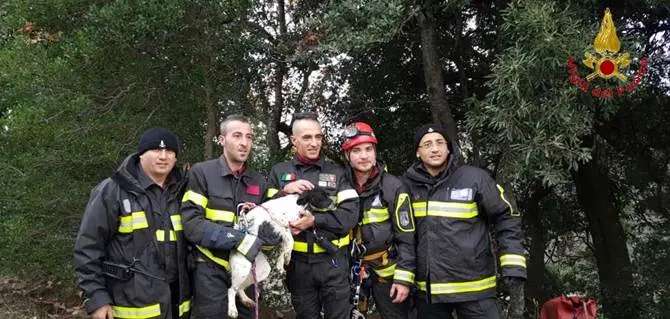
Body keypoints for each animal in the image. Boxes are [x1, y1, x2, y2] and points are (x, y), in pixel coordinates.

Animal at [228, 189, 336, 318]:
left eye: (327, 194)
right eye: (322, 196)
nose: (335, 203)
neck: (298, 205)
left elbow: (283, 249)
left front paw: (281, 264)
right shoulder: (280, 226)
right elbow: (290, 242)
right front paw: (287, 257)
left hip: (259, 271)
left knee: (239, 288)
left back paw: (246, 300)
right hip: (243, 269)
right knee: (231, 290)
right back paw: (232, 310)